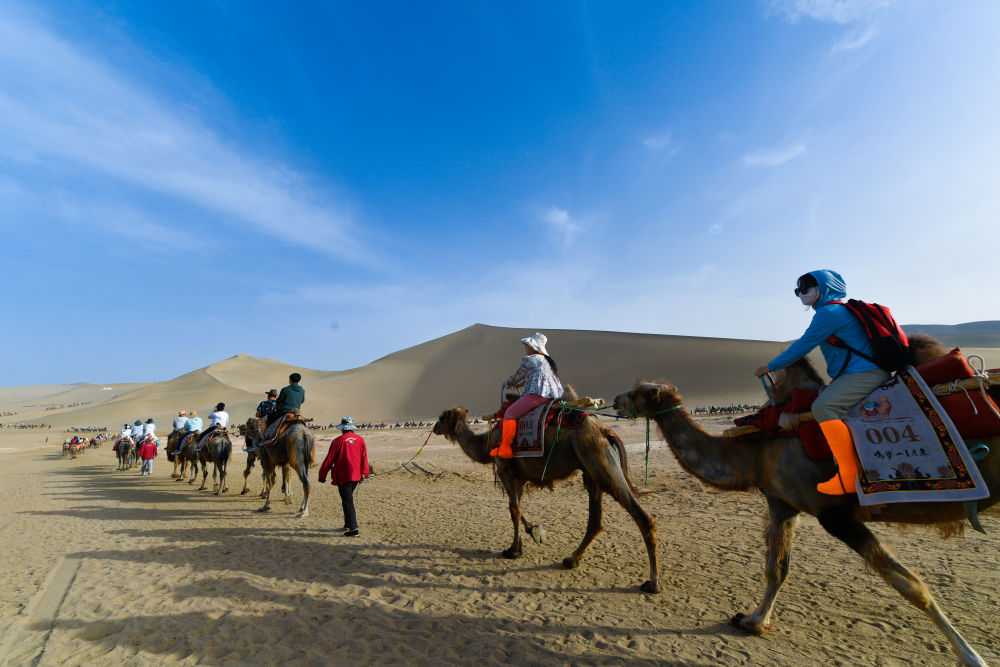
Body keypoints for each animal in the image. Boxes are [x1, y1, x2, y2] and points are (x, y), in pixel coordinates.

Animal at [434, 400, 660, 592]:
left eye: (442, 416)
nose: (435, 428)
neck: (486, 443)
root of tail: (605, 430)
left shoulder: (505, 469)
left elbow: (513, 510)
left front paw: (513, 550)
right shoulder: (520, 476)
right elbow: (520, 507)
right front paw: (533, 531)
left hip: (600, 461)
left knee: (642, 517)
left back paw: (652, 583)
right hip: (591, 471)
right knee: (595, 520)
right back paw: (571, 560)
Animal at [616, 358, 1000, 664]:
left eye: (639, 392)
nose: (615, 399)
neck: (753, 451)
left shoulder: (834, 515)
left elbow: (910, 584)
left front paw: (972, 657)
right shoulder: (783, 503)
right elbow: (777, 569)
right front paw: (754, 621)